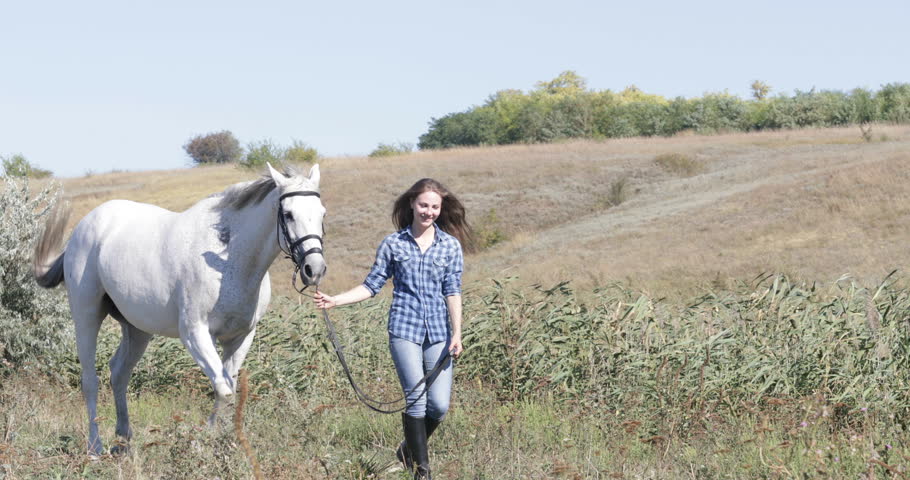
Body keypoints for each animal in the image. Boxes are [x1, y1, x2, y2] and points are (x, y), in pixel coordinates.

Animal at [32, 162, 328, 454]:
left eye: (321, 213)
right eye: (288, 214)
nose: (314, 270)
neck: (227, 260)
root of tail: (81, 230)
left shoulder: (240, 337)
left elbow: (229, 389)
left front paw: (226, 442)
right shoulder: (196, 334)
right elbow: (223, 390)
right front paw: (203, 441)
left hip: (137, 329)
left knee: (119, 373)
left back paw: (123, 441)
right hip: (87, 316)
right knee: (90, 381)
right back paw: (96, 447)